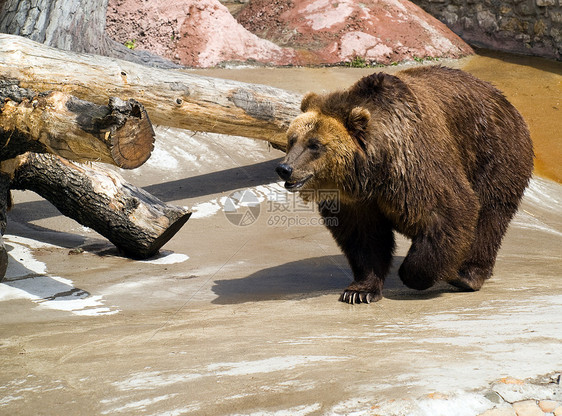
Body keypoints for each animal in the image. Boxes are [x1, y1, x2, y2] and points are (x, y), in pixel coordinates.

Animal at [276, 66, 532, 304]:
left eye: (315, 145)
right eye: (292, 139)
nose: (285, 168)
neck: (373, 174)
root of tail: (505, 100)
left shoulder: (415, 167)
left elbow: (449, 210)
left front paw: (419, 274)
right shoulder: (356, 202)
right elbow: (364, 239)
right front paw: (359, 291)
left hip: (493, 152)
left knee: (490, 215)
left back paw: (467, 274)